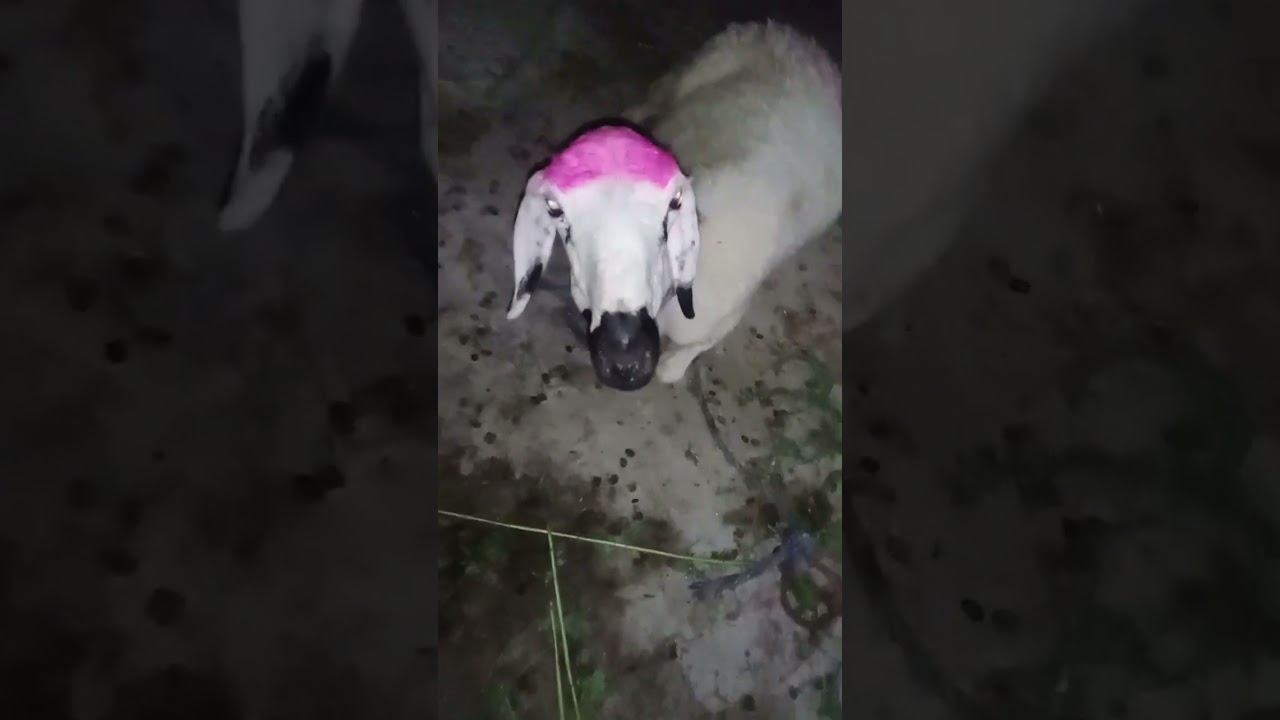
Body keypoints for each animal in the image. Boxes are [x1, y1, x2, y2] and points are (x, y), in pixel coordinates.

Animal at [505, 21, 842, 392]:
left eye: (669, 213)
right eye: (557, 212)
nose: (624, 362)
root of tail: (799, 41)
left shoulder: (722, 316)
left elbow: (681, 360)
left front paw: (672, 364)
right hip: (684, 78)